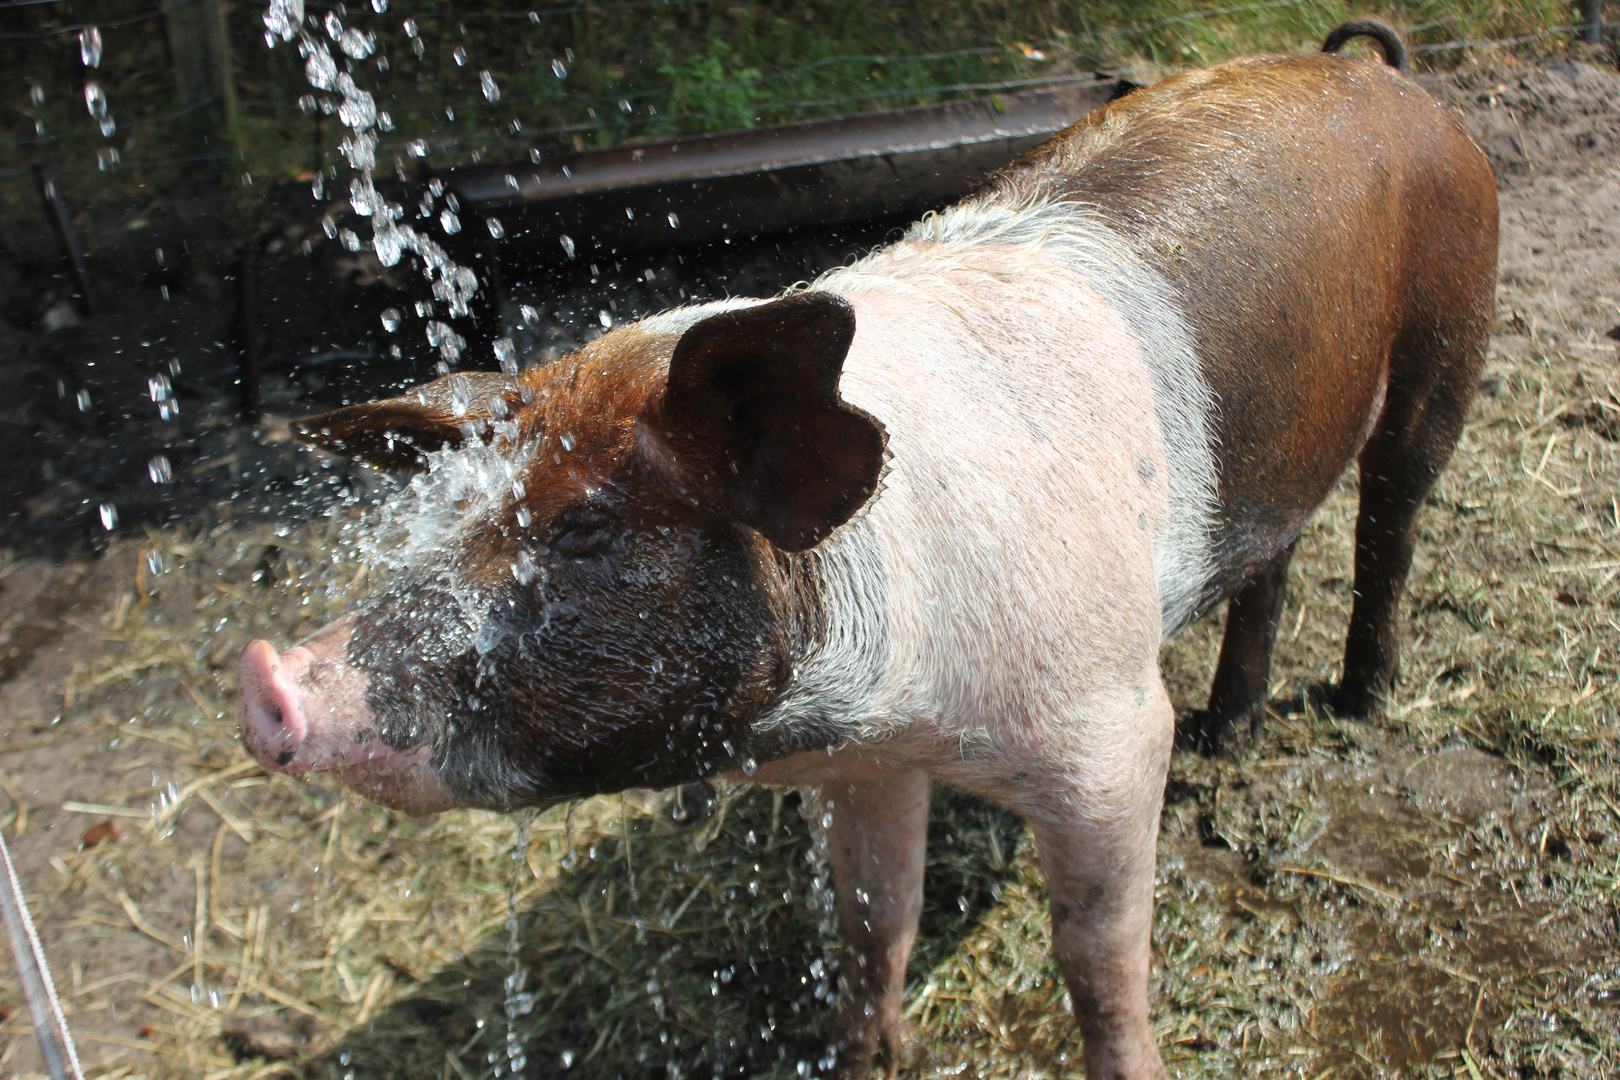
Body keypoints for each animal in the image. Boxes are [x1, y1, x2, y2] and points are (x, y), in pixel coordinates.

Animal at [236, 19, 1490, 1080]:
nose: (270, 678)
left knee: (1390, 524)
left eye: (585, 526)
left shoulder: (1111, 732)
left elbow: (1096, 955)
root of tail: (1377, 72)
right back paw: (1232, 732)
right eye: (447, 518)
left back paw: (1362, 701)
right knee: (1274, 557)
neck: (900, 704)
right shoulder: (867, 765)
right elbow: (875, 913)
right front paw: (863, 1055)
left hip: (1450, 333)